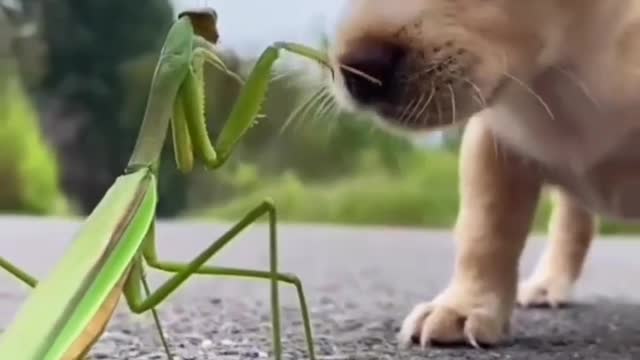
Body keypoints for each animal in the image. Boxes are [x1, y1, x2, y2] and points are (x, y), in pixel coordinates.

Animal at [328, 0, 640, 348]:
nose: (355, 71)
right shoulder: (493, 140)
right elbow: (486, 232)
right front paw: (462, 306)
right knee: (573, 222)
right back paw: (548, 283)